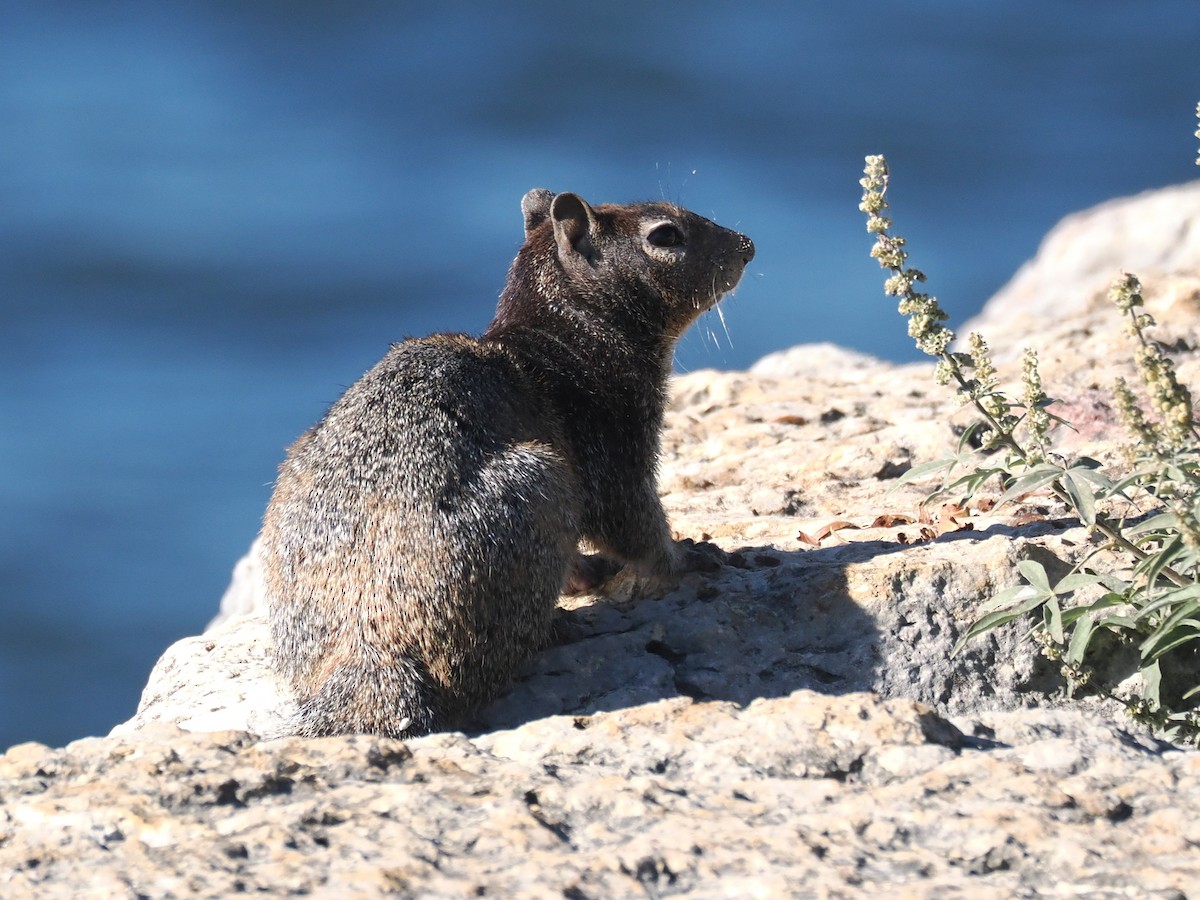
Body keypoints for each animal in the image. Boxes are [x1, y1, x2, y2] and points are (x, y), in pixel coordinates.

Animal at [261, 189, 754, 738]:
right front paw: (690, 557)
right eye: (665, 235)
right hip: (543, 481)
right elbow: (634, 524)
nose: (747, 245)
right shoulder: (616, 442)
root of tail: (370, 661)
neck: (566, 334)